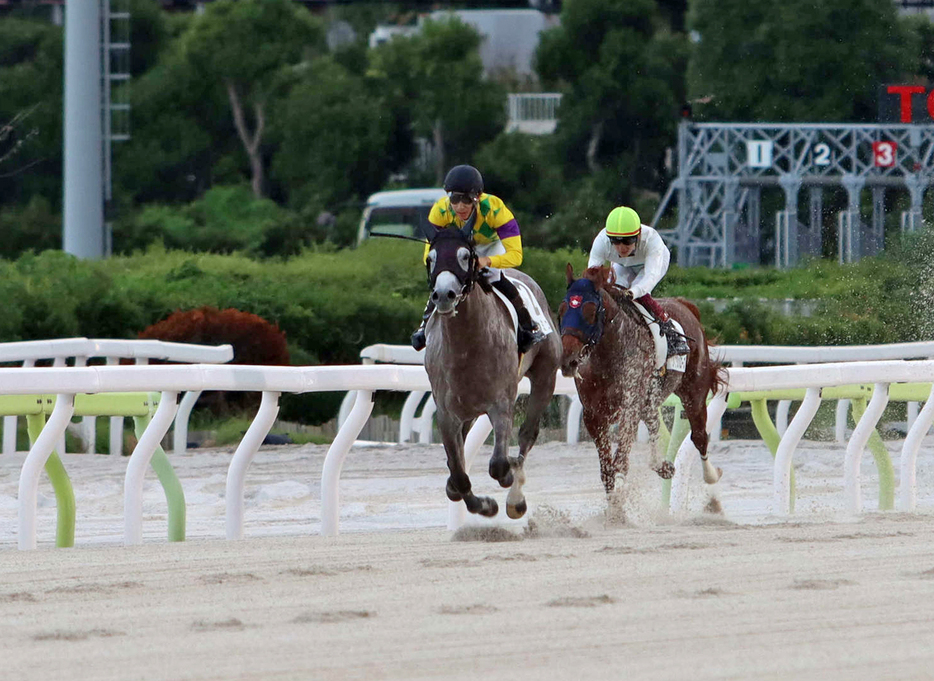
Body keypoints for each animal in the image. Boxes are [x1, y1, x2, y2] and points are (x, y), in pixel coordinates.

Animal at [424, 220, 564, 516]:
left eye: (465, 256)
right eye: (430, 258)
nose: (443, 295)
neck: (467, 347)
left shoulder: (501, 403)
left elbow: (498, 464)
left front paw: (507, 478)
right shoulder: (447, 413)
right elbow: (458, 473)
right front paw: (483, 505)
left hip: (545, 376)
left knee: (527, 434)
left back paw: (515, 497)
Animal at [560, 266, 728, 500]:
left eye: (591, 311)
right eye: (562, 309)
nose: (569, 360)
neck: (607, 357)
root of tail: (685, 305)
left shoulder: (629, 406)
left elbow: (619, 462)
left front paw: (620, 494)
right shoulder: (593, 415)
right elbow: (606, 471)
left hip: (694, 391)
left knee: (700, 436)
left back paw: (710, 475)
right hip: (651, 399)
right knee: (654, 421)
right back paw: (662, 465)